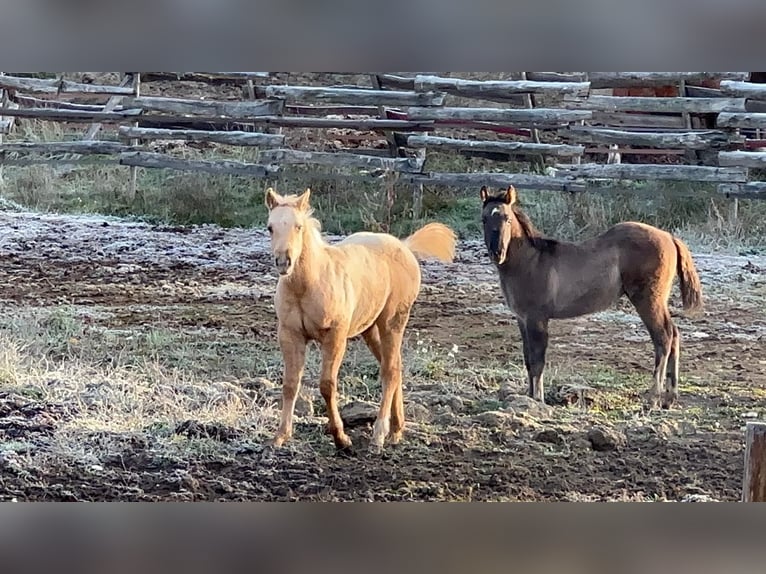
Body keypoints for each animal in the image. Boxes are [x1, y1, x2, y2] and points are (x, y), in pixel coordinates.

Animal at [265, 187, 457, 452]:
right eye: (270, 227)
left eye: (298, 226)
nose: (284, 262)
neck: (308, 284)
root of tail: (404, 246)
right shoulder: (289, 335)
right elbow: (290, 384)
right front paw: (280, 436)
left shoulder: (335, 336)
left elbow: (327, 384)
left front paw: (341, 438)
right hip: (370, 329)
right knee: (395, 366)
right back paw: (396, 430)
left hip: (392, 322)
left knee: (389, 370)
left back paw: (379, 435)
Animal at [479, 185, 703, 409]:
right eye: (484, 219)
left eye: (507, 218)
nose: (497, 252)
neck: (531, 261)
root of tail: (670, 237)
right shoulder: (522, 318)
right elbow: (527, 359)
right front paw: (528, 396)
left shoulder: (537, 318)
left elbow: (537, 360)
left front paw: (538, 399)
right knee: (674, 334)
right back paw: (670, 397)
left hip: (648, 300)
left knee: (663, 337)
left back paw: (653, 398)